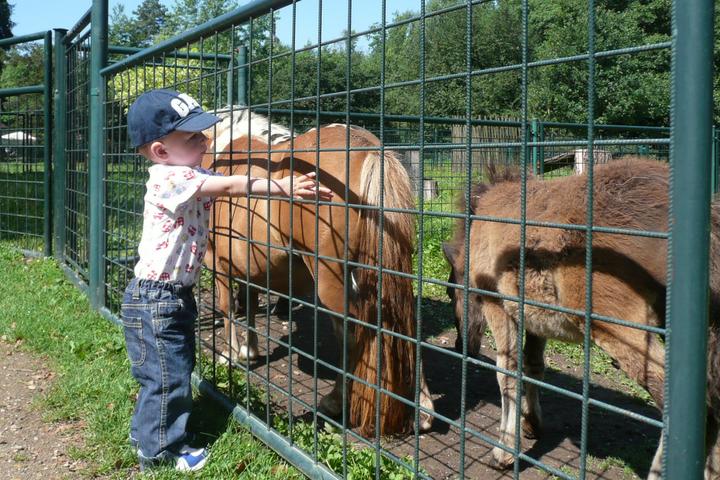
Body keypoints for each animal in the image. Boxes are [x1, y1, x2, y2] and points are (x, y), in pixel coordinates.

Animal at [201, 108, 434, 437]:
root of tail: (369, 149)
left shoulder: (220, 263)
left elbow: (227, 308)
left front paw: (231, 356)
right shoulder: (251, 265)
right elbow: (249, 302)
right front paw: (250, 350)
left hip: (331, 280)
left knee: (354, 332)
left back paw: (336, 400)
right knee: (402, 321)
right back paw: (422, 410)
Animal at [441, 158, 720, 478]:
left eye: (451, 291)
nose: (461, 344)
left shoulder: (497, 304)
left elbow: (507, 372)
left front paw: (504, 452)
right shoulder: (534, 316)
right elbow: (533, 367)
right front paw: (531, 423)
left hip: (619, 327)